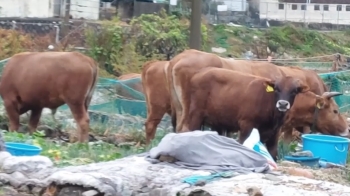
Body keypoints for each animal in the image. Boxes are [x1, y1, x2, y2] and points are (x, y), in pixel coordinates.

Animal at [185, 67, 348, 159]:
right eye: (335, 111)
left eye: (294, 91)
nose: (347, 130)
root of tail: (200, 72)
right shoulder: (246, 127)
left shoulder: (277, 131)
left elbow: (275, 153)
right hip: (194, 116)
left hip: (218, 123)